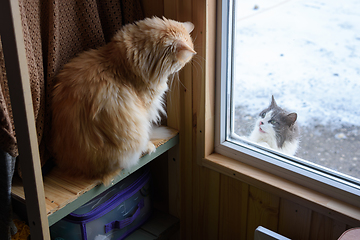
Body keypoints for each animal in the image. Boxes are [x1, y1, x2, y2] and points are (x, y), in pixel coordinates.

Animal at [50, 15, 195, 183]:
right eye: (182, 62)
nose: (183, 66)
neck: (121, 63)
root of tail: (74, 167)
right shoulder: (145, 108)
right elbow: (146, 130)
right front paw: (148, 145)